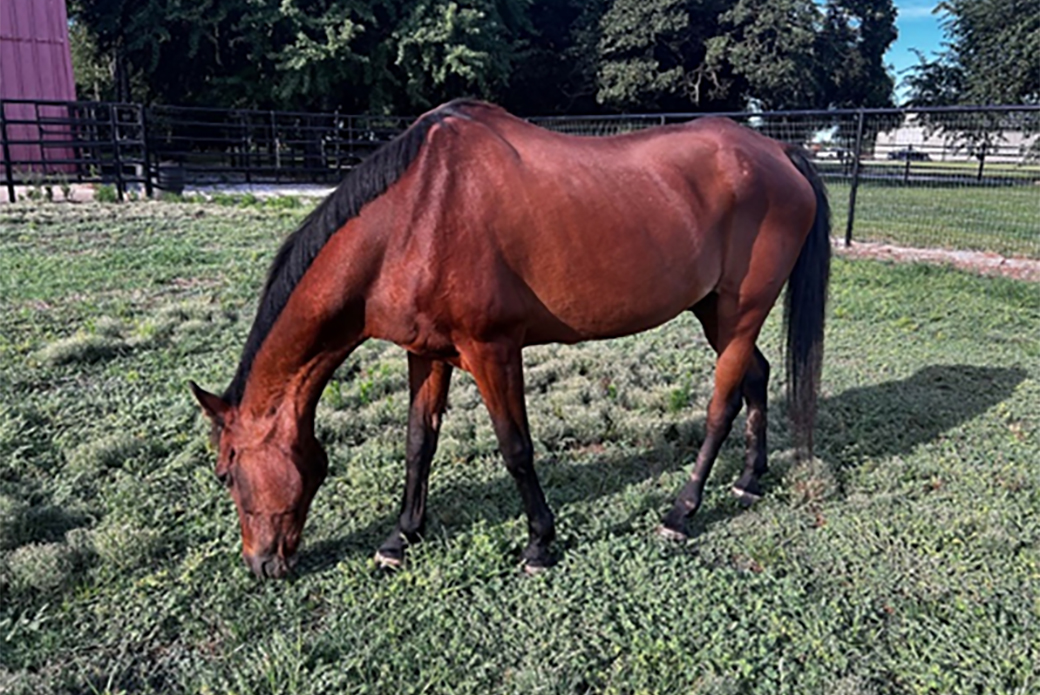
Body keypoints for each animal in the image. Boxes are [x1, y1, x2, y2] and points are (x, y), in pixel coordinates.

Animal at [191, 95, 832, 578]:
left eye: (226, 473)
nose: (260, 565)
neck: (414, 215)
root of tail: (778, 151)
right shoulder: (426, 355)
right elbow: (418, 443)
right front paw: (401, 538)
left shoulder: (492, 351)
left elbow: (516, 448)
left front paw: (540, 544)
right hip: (715, 313)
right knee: (757, 376)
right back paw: (749, 480)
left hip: (741, 312)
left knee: (722, 405)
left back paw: (681, 512)